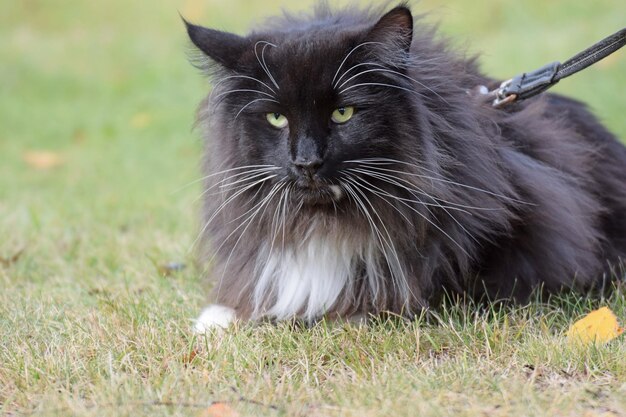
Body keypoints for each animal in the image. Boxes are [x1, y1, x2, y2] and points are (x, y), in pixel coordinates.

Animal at [185, 3, 624, 332]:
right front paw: (218, 319)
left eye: (343, 113)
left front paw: (350, 313)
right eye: (277, 119)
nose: (307, 161)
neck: (329, 219)